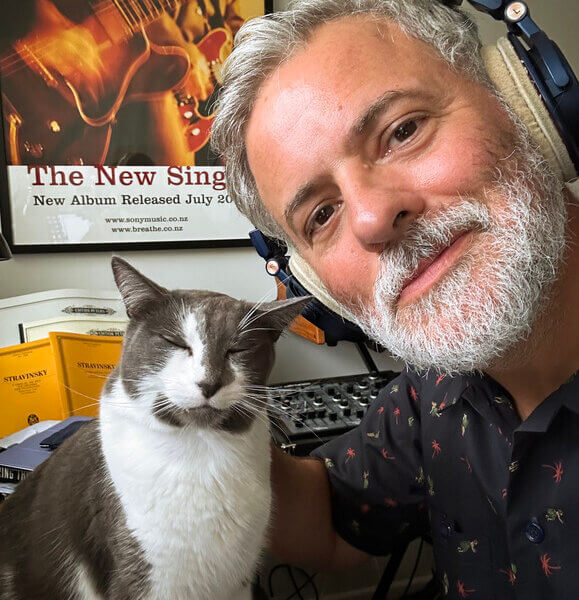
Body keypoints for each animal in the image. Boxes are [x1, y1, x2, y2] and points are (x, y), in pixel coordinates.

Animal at [0, 258, 310, 600]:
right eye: (175, 343)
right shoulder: (141, 573)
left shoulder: (239, 579)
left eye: (238, 349)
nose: (209, 383)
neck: (199, 450)